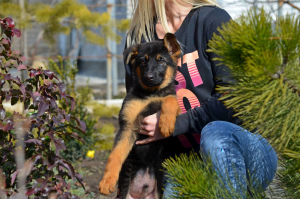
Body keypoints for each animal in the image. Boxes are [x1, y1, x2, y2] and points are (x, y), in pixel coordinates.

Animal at [99, 33, 182, 198]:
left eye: (161, 61)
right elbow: (115, 155)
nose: (149, 77)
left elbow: (169, 99)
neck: (151, 93)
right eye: (143, 61)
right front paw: (107, 181)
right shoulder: (128, 126)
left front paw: (166, 124)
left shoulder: (170, 98)